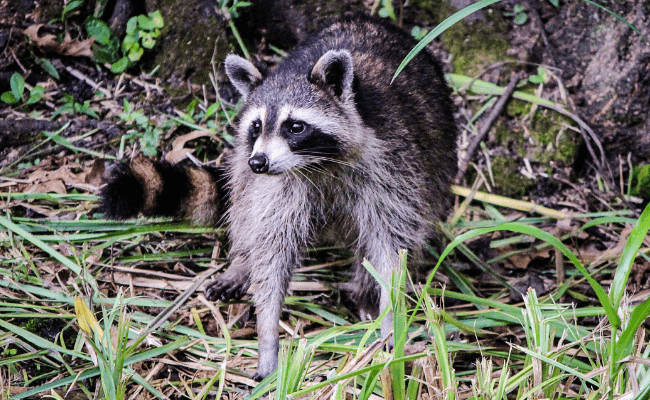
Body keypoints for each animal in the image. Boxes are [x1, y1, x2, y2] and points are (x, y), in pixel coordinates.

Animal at [100, 17, 456, 380]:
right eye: (257, 126)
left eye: (295, 127)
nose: (259, 162)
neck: (317, 164)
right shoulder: (279, 185)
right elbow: (271, 247)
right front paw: (267, 333)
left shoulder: (392, 166)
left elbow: (391, 247)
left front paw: (389, 315)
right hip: (245, 166)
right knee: (243, 201)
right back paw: (242, 260)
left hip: (438, 162)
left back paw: (365, 289)